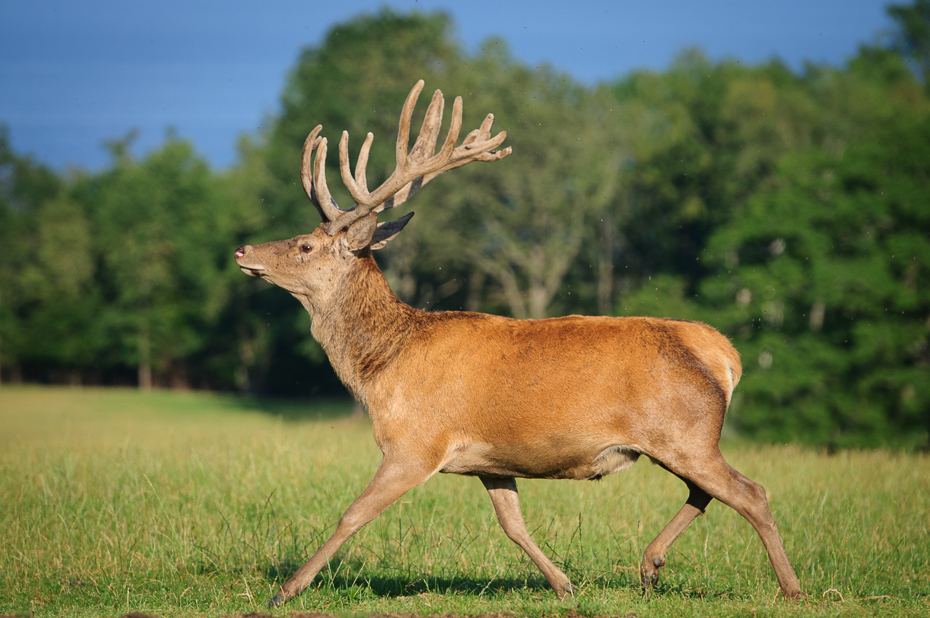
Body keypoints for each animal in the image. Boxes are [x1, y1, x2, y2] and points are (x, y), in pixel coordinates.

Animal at [234, 79, 804, 604]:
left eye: (305, 245)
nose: (242, 250)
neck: (380, 368)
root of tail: (724, 353)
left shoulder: (415, 442)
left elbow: (351, 515)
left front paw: (285, 590)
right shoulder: (492, 461)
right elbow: (513, 525)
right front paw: (563, 584)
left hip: (686, 431)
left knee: (750, 492)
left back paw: (791, 588)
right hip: (681, 439)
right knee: (706, 492)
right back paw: (649, 566)